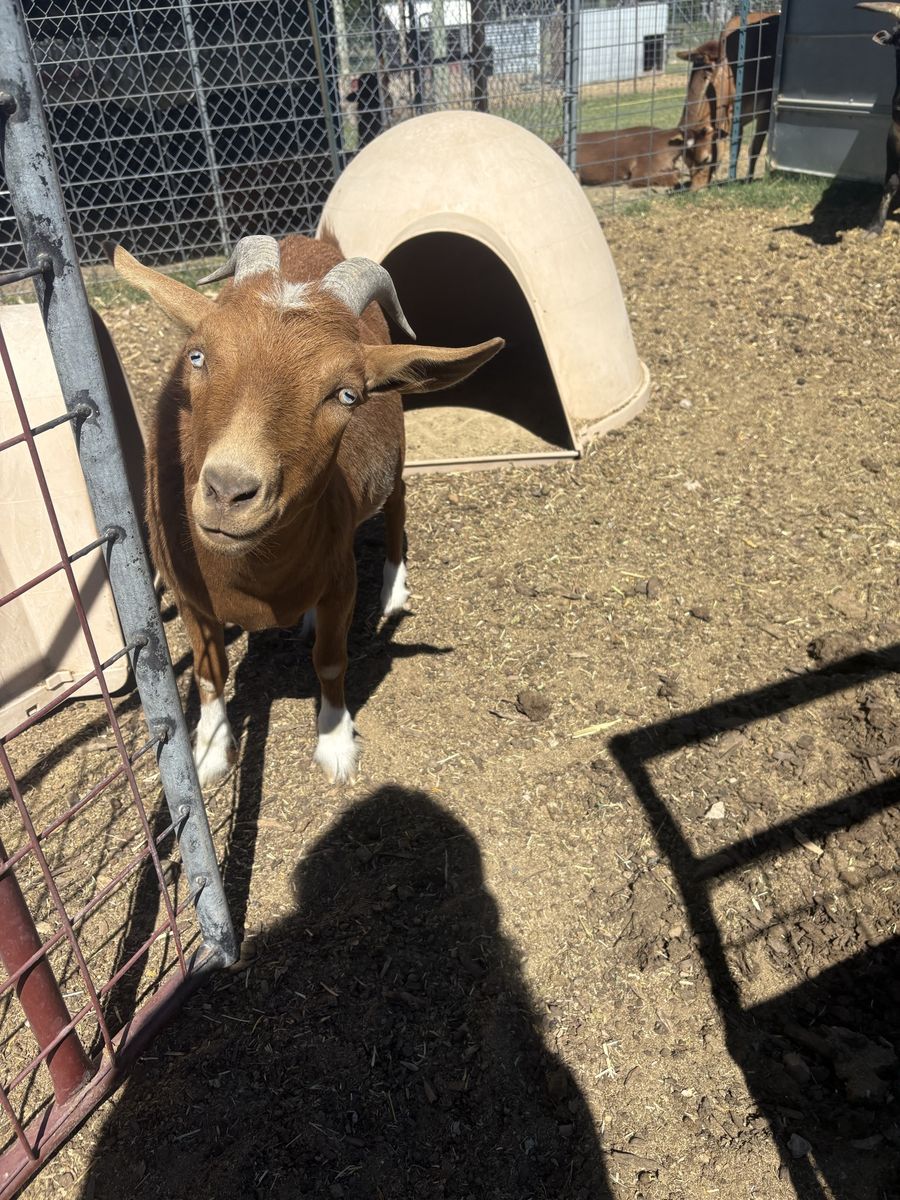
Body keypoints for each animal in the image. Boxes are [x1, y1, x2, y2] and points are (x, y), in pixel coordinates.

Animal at [109, 235, 503, 786]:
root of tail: (312, 241)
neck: (253, 578)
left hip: (395, 450)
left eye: (347, 394)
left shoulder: (341, 579)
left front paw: (336, 744)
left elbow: (332, 661)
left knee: (398, 499)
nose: (229, 491)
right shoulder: (190, 596)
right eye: (197, 356)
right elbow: (209, 674)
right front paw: (209, 753)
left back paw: (393, 590)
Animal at [676, 11, 779, 189]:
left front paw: (748, 179)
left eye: (706, 158)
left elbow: (754, 148)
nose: (695, 189)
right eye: (686, 162)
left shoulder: (765, 110)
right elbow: (735, 149)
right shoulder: (735, 119)